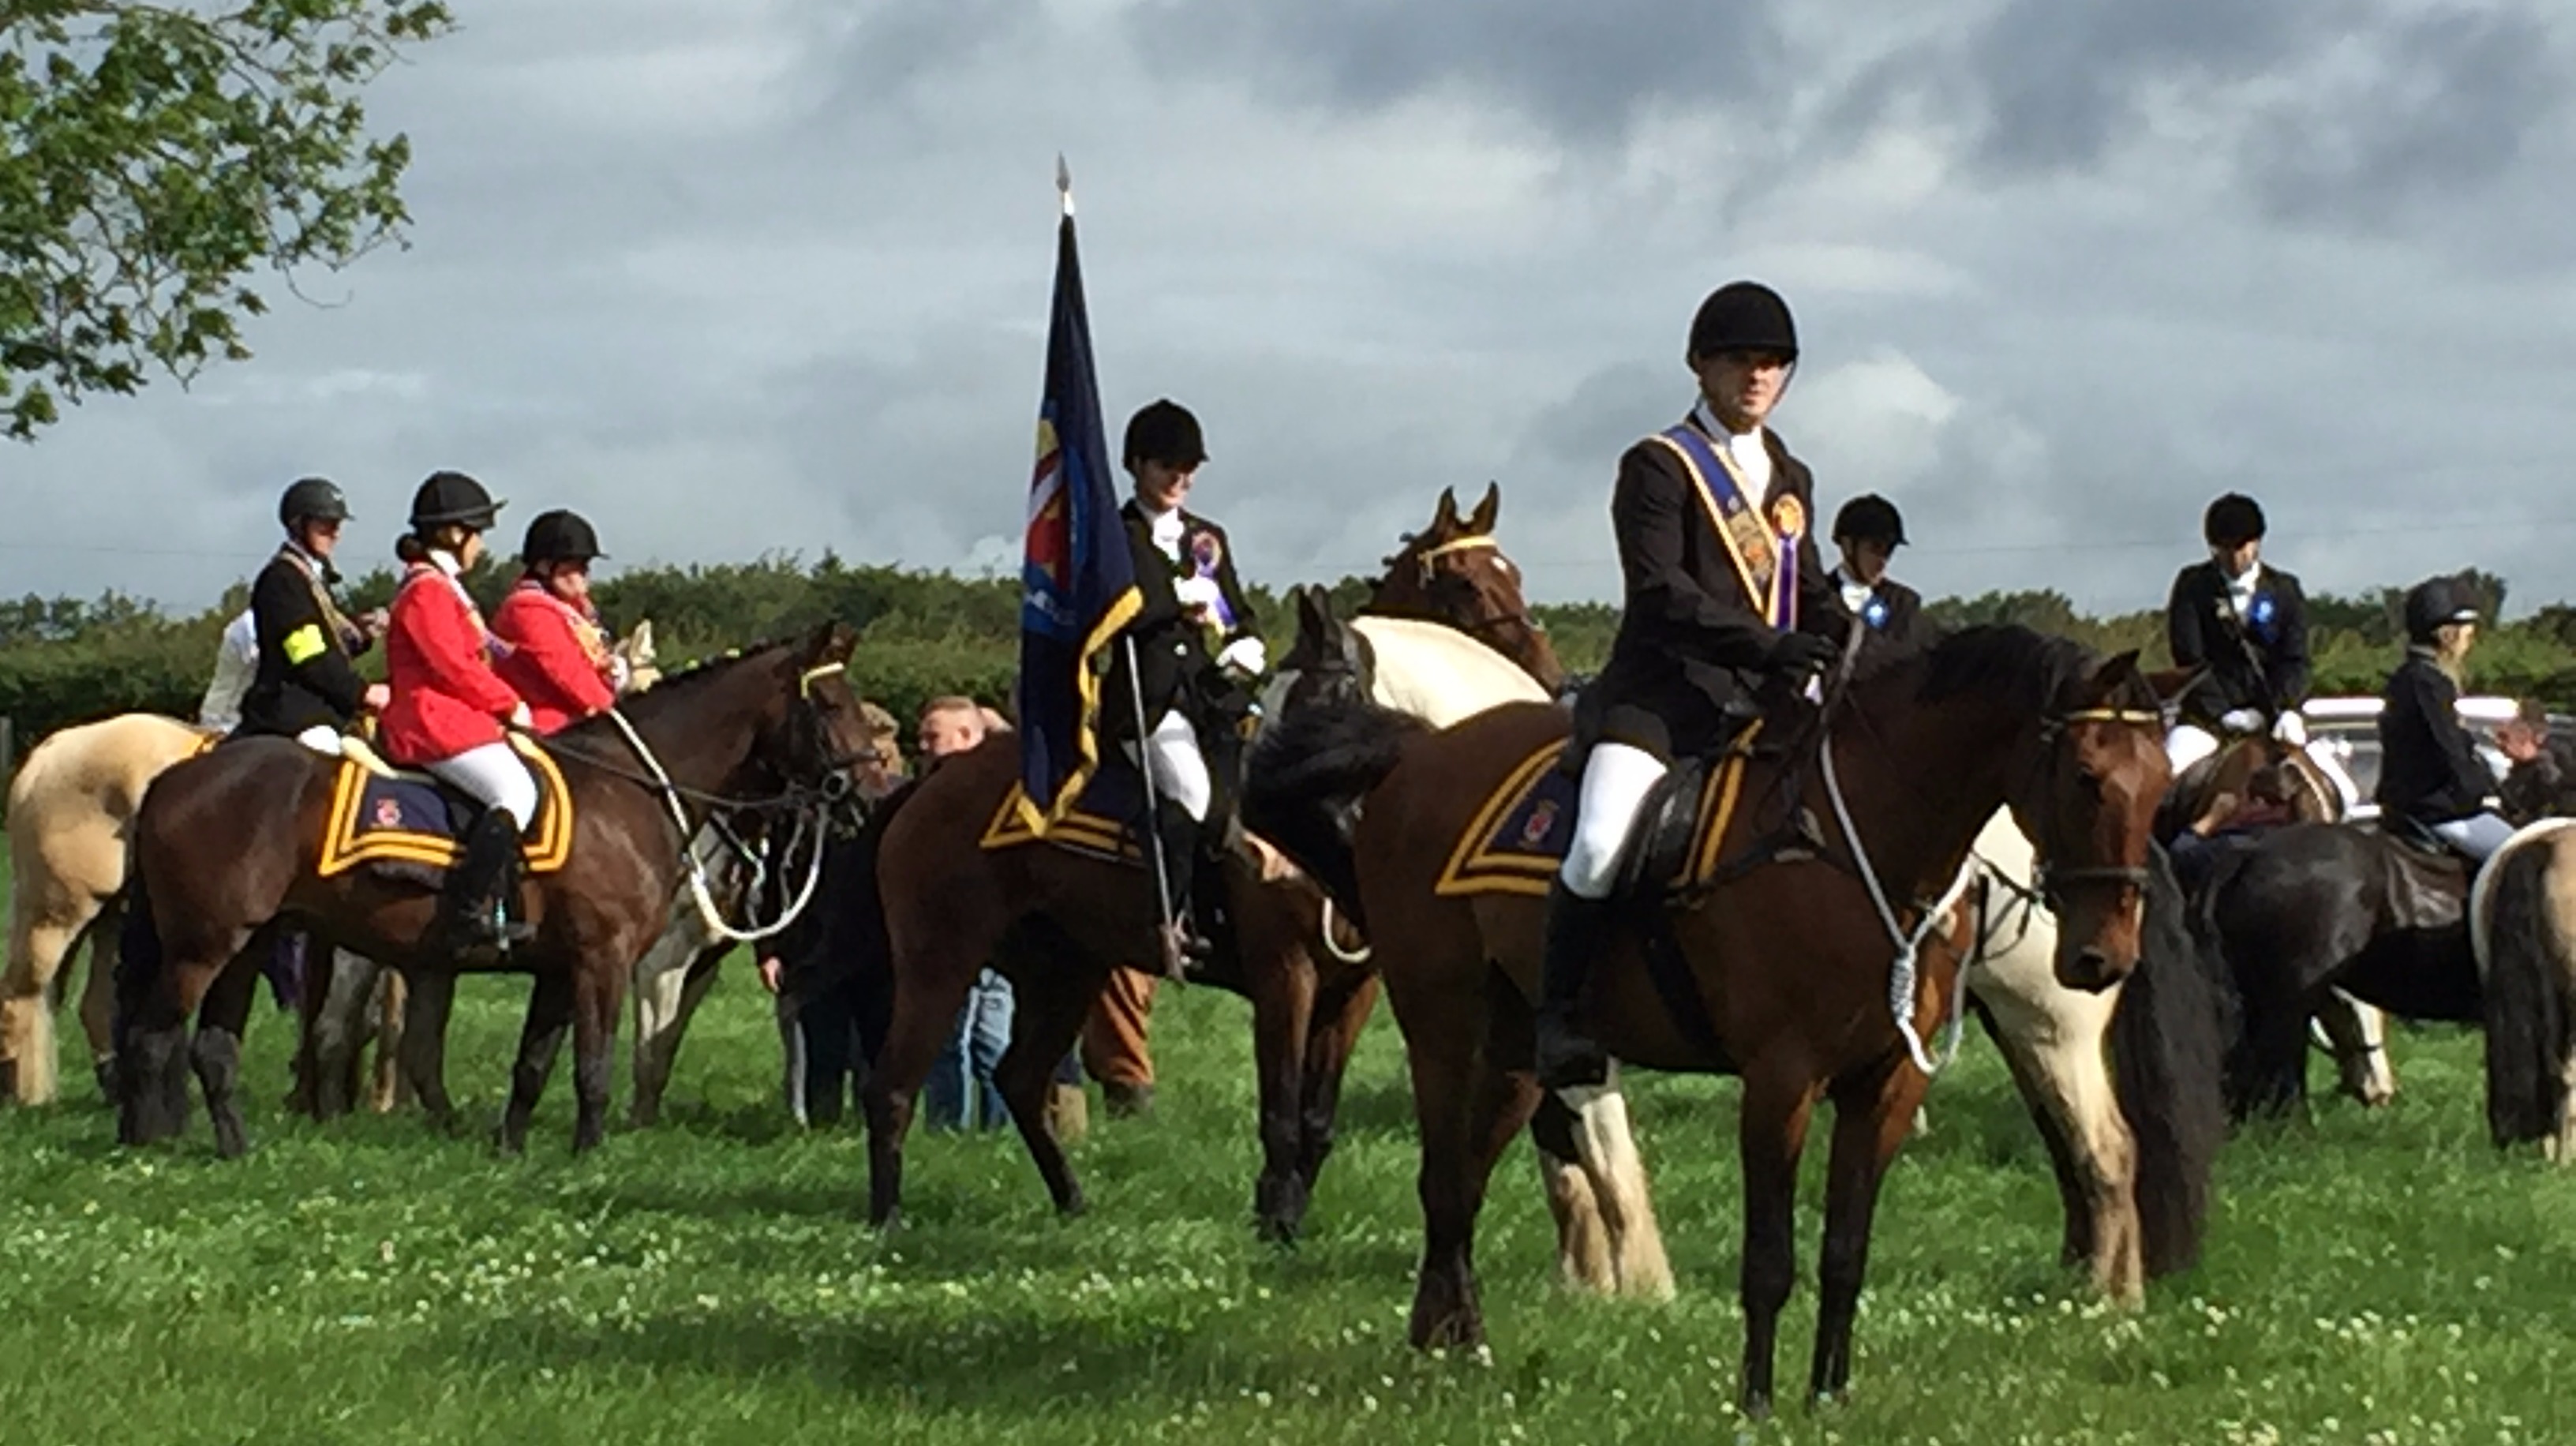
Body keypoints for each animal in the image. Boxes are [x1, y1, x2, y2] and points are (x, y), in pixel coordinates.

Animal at [118, 626, 875, 1154]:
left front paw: (512, 1150)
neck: (626, 792)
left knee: (216, 1047)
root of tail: (174, 776)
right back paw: (147, 1148)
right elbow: (594, 1064)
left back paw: (235, 1147)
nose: (868, 797)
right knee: (156, 1037)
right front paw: (591, 1154)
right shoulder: (604, 960)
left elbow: (534, 1063)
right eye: (832, 703)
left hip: (248, 944)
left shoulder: (560, 969)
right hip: (206, 946)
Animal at [1246, 624, 2174, 1412]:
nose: (2104, 957)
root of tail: (1421, 756)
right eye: (2086, 776)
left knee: (1463, 1179)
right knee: (1443, 1179)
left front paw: (1829, 1397)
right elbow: (1768, 1257)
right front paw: (1757, 1401)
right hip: (1444, 1026)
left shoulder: (1887, 1084)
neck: (1858, 846)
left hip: (1511, 1057)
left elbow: (1846, 1250)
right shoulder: (1780, 1078)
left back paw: (1450, 1343)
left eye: (2161, 782)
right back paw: (1452, 1350)